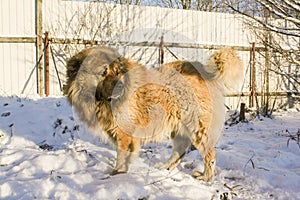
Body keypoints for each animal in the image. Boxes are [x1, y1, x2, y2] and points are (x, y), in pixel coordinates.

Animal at [64, 45, 243, 181]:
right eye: (102, 72)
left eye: (116, 72)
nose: (120, 86)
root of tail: (203, 70)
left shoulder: (124, 133)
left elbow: (121, 155)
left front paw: (117, 174)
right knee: (180, 150)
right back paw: (165, 167)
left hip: (197, 127)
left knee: (209, 155)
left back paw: (206, 177)